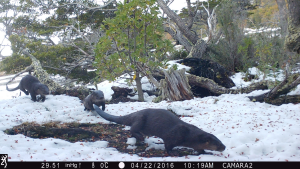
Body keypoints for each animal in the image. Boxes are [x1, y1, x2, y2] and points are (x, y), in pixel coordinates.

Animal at [93, 105, 225, 155]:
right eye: (218, 144)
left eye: (220, 141)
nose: (224, 147)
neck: (189, 135)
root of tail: (136, 113)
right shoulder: (173, 136)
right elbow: (168, 146)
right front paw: (173, 153)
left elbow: (200, 149)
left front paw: (207, 152)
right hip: (140, 118)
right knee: (132, 129)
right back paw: (140, 137)